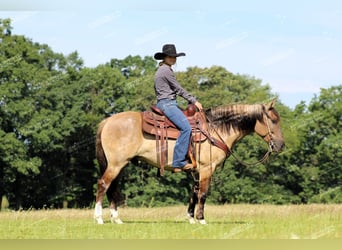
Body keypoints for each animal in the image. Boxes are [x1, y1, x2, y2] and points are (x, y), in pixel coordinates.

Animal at [94, 99, 286, 225]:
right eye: (273, 120)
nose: (280, 145)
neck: (215, 130)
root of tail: (107, 121)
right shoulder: (207, 169)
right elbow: (203, 194)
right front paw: (201, 220)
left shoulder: (197, 171)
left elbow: (194, 193)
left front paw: (191, 218)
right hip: (115, 165)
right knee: (103, 184)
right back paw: (98, 218)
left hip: (120, 165)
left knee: (113, 188)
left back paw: (116, 219)